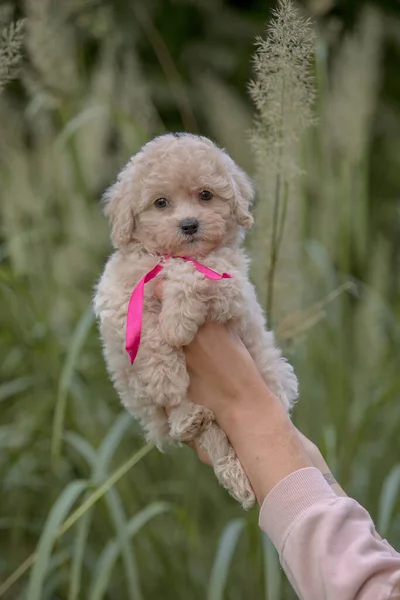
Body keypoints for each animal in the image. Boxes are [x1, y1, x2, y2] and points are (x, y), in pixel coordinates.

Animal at [94, 134, 298, 508]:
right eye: (161, 203)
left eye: (206, 195)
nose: (189, 225)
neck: (171, 255)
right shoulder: (115, 297)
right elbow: (148, 336)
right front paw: (166, 378)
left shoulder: (233, 288)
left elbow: (195, 274)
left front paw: (176, 324)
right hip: (141, 400)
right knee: (200, 433)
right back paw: (191, 422)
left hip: (274, 378)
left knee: (230, 441)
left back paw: (236, 477)